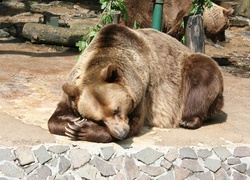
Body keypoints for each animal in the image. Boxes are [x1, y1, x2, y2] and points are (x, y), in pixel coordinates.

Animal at [47, 23, 224, 142]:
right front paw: (71, 124)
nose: (120, 133)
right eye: (99, 119)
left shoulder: (142, 90)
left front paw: (81, 130)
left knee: (204, 72)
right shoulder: (72, 89)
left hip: (186, 70)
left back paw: (189, 120)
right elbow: (55, 117)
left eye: (117, 109)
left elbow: (135, 122)